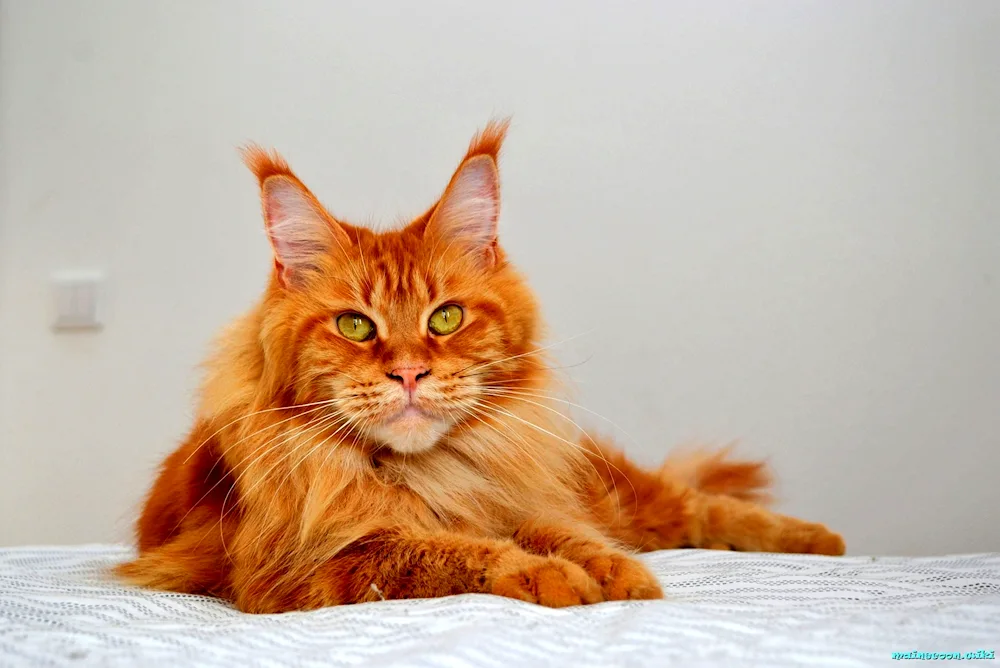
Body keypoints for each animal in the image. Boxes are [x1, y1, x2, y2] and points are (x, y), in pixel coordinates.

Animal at [121, 120, 848, 612]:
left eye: (445, 318)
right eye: (356, 326)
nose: (408, 373)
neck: (431, 475)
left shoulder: (522, 498)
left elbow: (565, 534)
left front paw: (614, 572)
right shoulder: (304, 571)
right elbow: (448, 549)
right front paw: (550, 577)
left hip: (613, 490)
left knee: (697, 505)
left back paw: (820, 541)